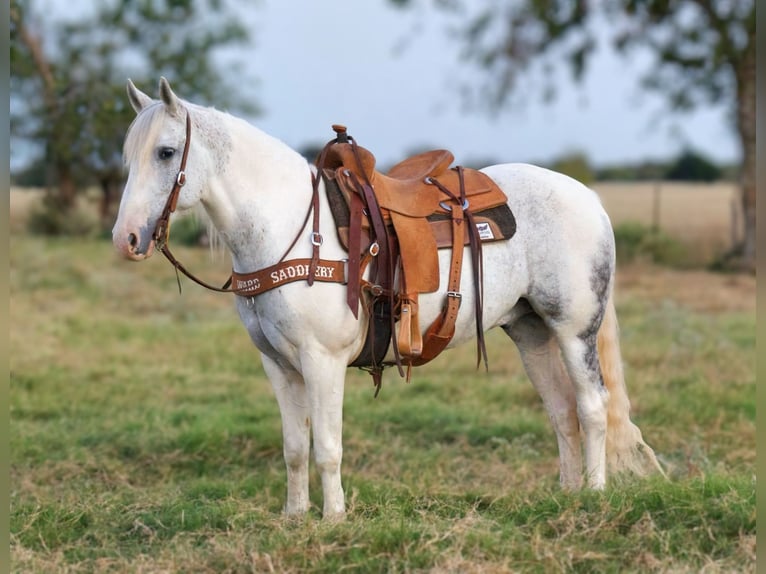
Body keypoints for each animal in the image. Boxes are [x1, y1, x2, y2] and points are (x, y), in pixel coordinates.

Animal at [111, 77, 664, 520]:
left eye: (165, 152)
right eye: (128, 156)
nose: (126, 239)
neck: (291, 228)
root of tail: (588, 197)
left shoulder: (323, 360)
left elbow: (326, 447)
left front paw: (333, 519)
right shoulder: (278, 365)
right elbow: (294, 447)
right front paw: (293, 517)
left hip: (573, 330)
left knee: (591, 406)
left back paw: (593, 496)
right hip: (530, 332)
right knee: (561, 411)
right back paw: (565, 498)